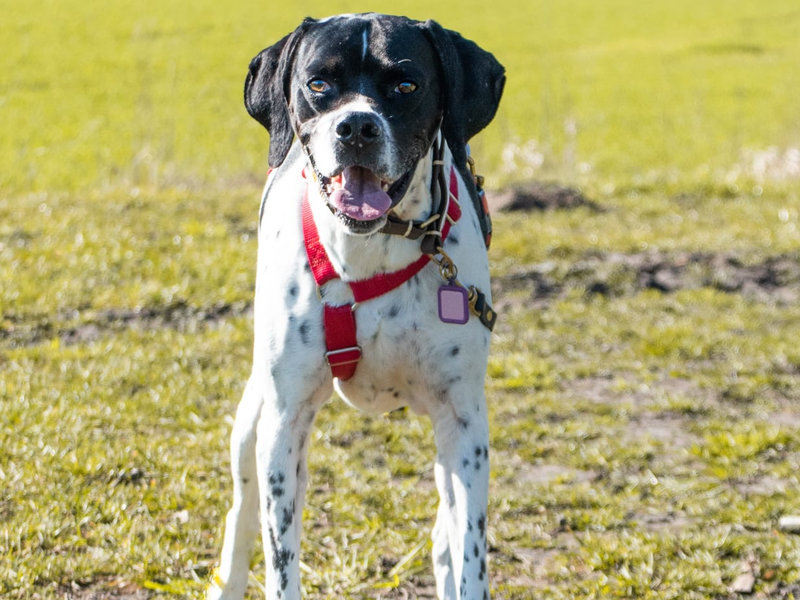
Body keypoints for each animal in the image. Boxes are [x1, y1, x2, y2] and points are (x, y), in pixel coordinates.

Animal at [207, 13, 504, 600]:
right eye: (319, 83)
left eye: (406, 85)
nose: (357, 127)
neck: (369, 251)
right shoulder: (285, 421)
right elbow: (281, 557)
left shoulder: (463, 422)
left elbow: (470, 552)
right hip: (254, 419)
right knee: (243, 508)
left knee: (446, 528)